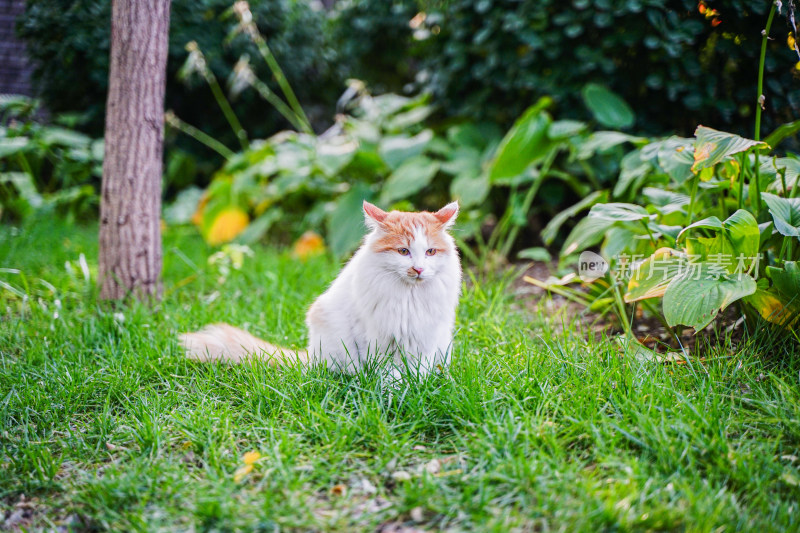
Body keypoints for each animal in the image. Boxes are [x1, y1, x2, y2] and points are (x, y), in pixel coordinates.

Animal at [177, 200, 460, 378]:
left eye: (430, 252)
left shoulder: (425, 338)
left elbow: (417, 371)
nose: (419, 269)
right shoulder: (378, 337)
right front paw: (392, 390)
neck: (409, 296)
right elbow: (387, 372)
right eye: (403, 251)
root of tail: (310, 356)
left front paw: (414, 388)